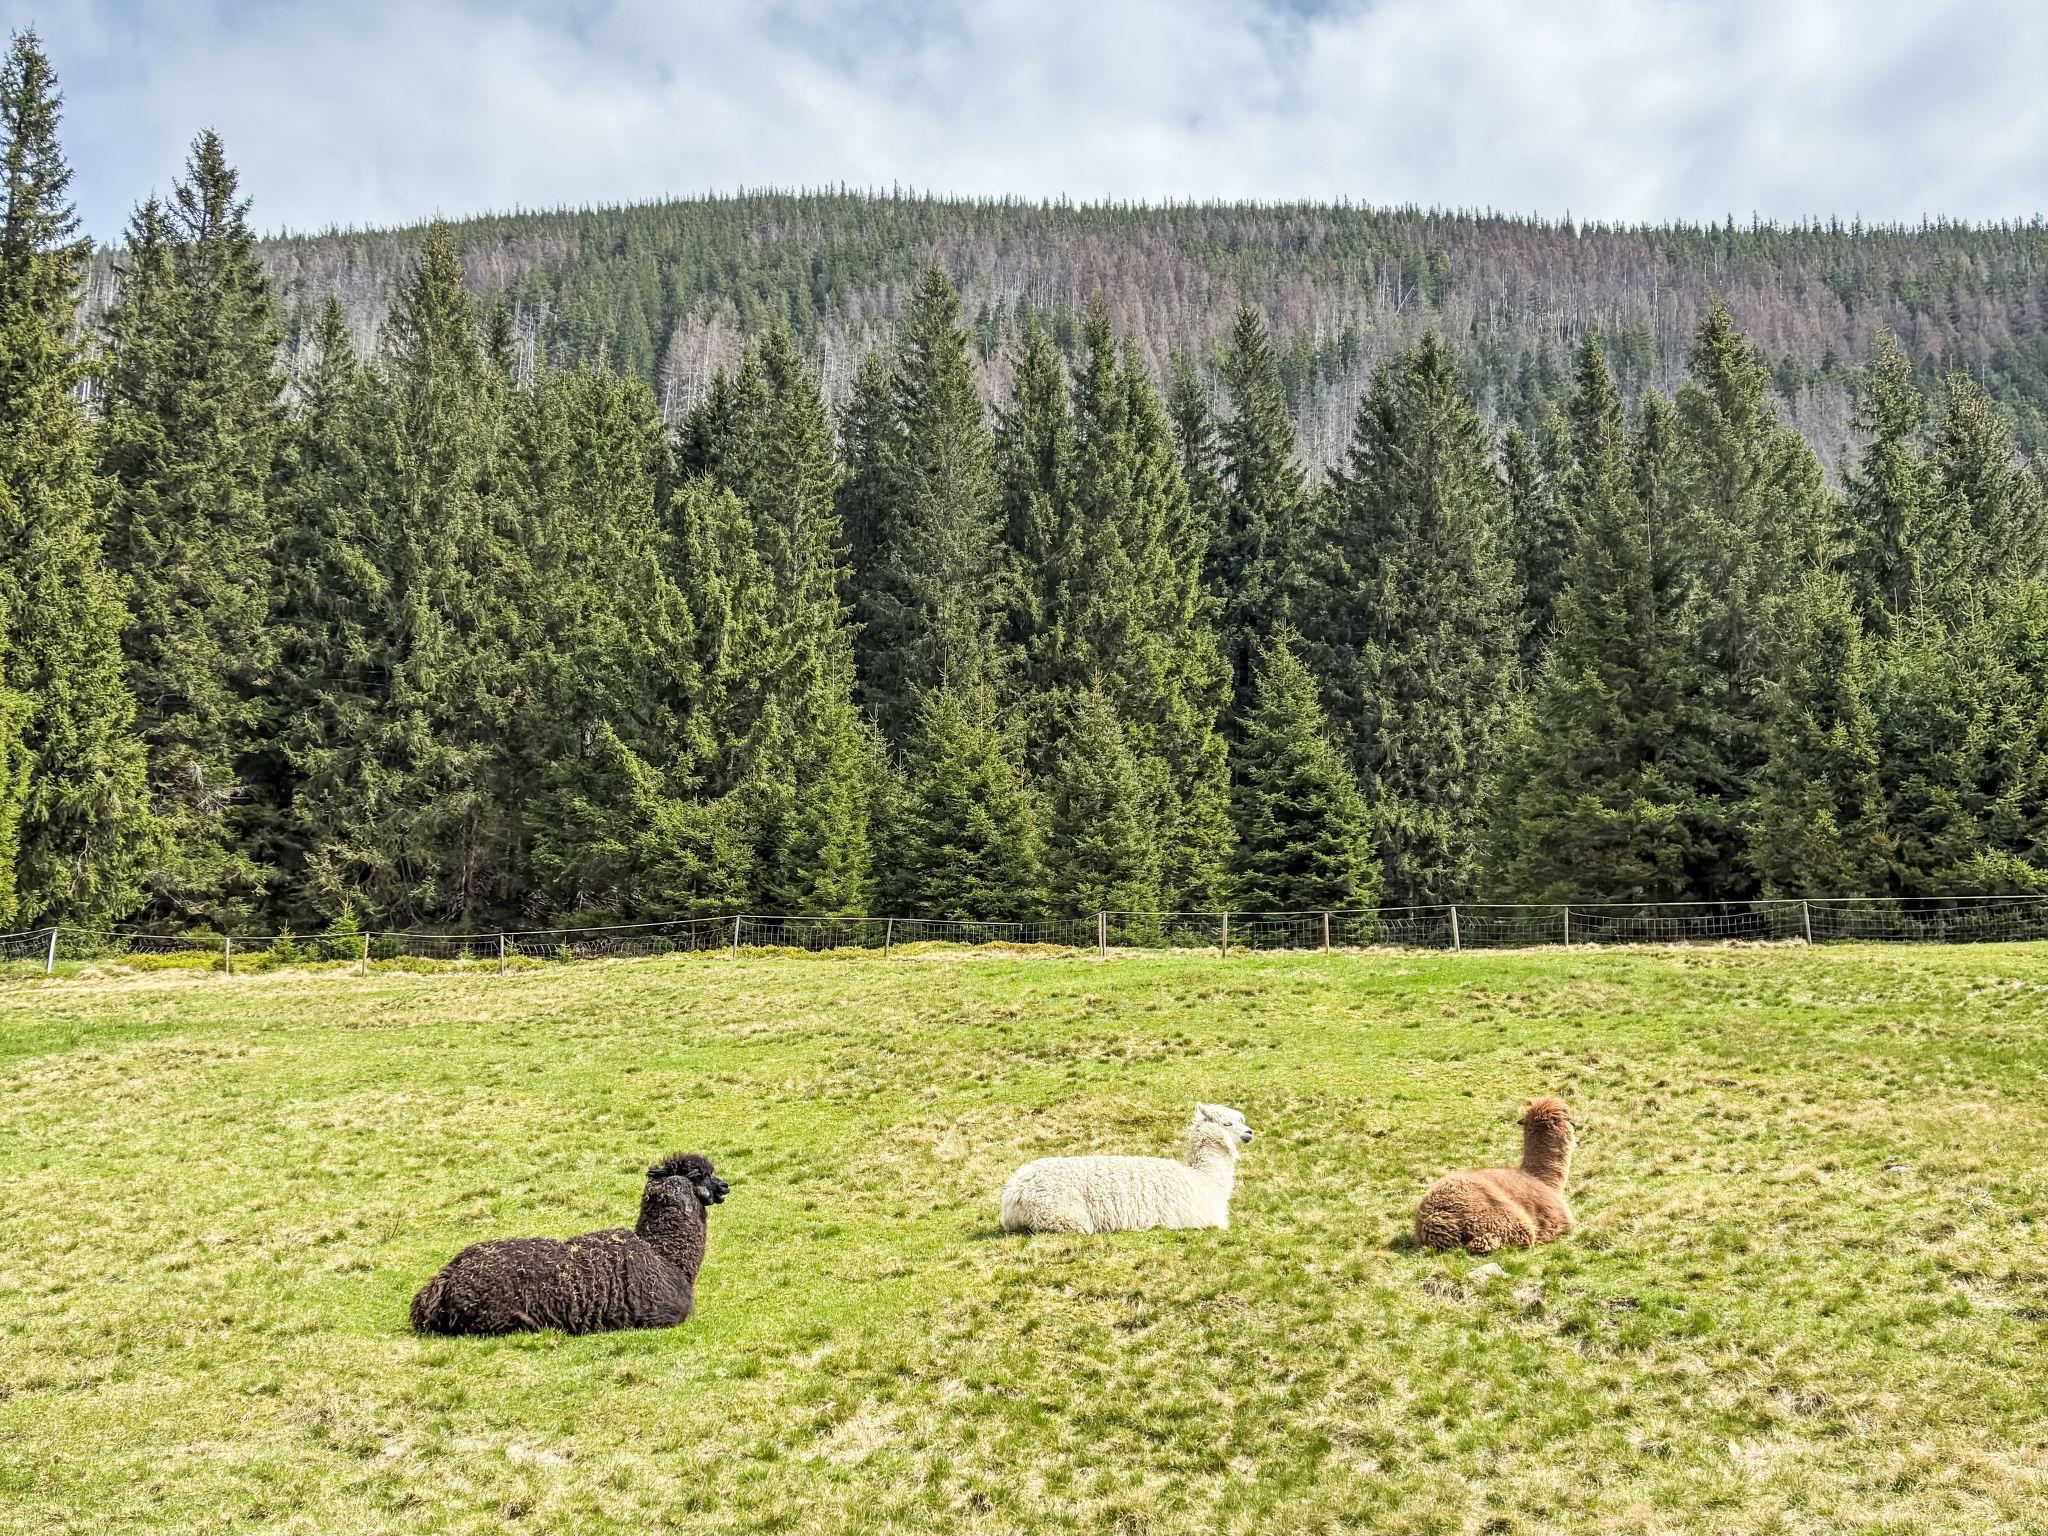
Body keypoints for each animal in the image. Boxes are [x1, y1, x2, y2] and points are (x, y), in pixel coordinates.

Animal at [999, 1103, 1254, 1234]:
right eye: (1227, 1123)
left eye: (1241, 1120)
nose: (1250, 1132)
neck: (1203, 1180)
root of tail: (1013, 1192)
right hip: (1064, 1215)